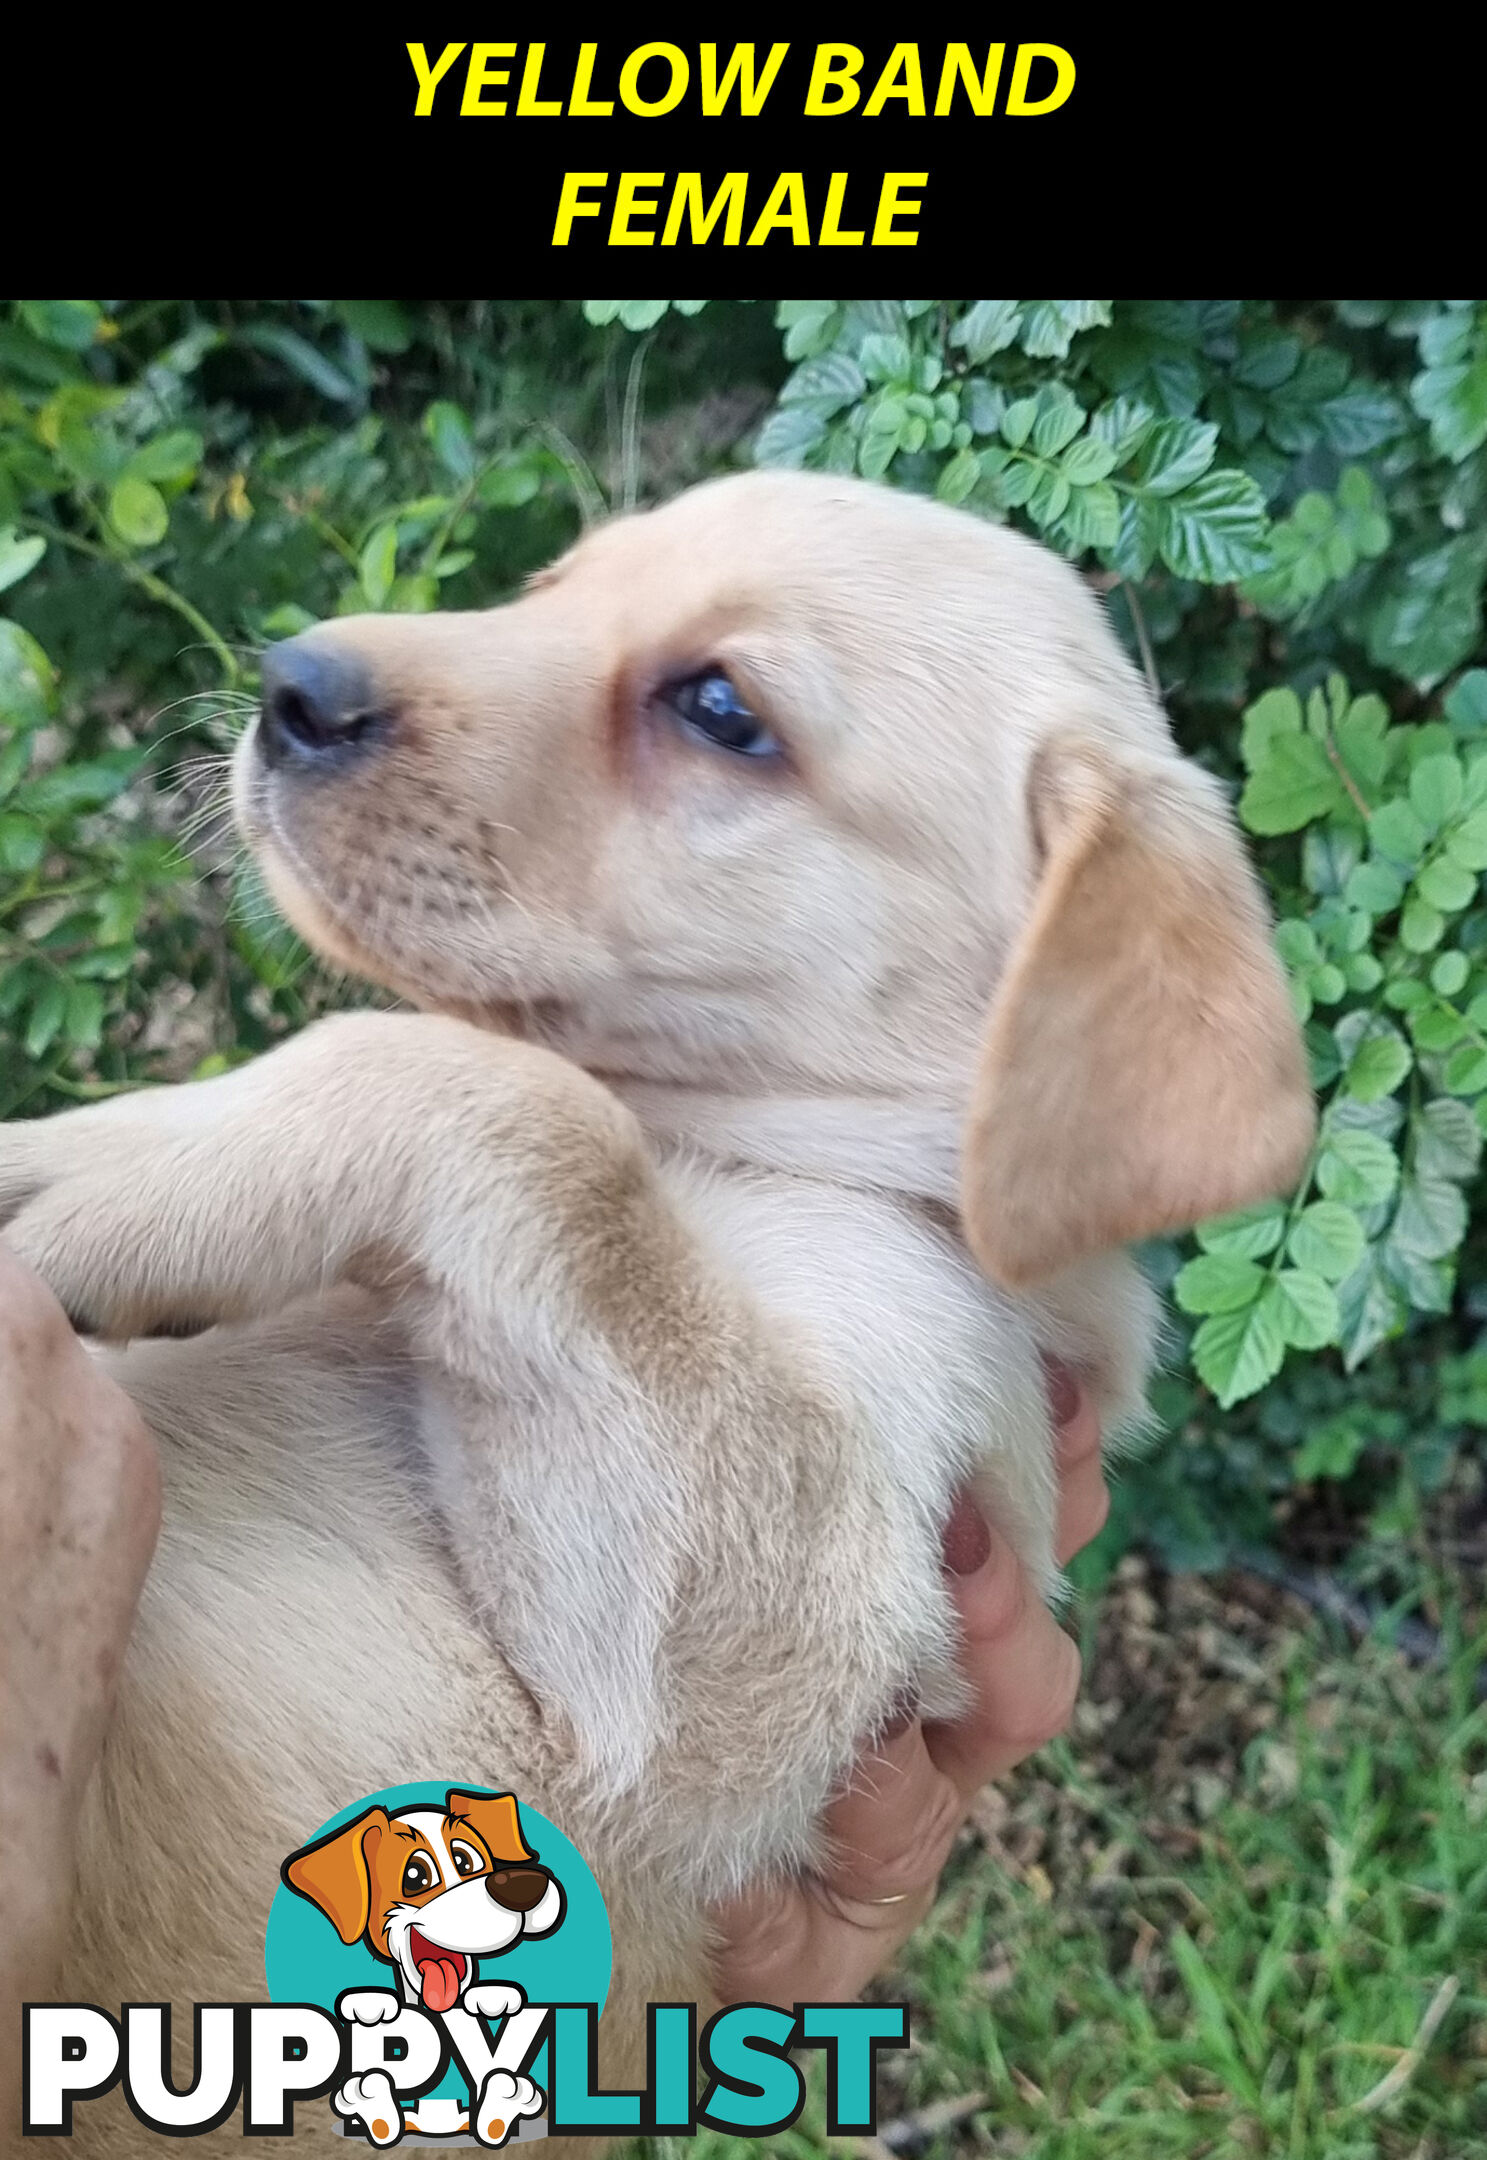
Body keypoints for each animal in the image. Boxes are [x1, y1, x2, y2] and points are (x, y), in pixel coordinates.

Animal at [0, 468, 1305, 2142]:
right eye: (552, 586)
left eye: (719, 710)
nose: (291, 684)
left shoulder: (736, 1654)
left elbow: (523, 1106)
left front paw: (114, 1172)